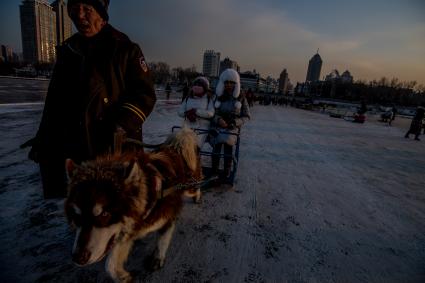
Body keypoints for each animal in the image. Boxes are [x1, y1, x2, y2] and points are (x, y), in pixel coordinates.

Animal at [64, 127, 202, 282]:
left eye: (104, 214)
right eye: (76, 216)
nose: (78, 258)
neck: (149, 195)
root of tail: (178, 143)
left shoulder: (167, 216)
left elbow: (163, 240)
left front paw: (158, 257)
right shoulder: (126, 230)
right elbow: (110, 264)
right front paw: (122, 276)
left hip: (188, 188)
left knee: (198, 186)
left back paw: (198, 196)